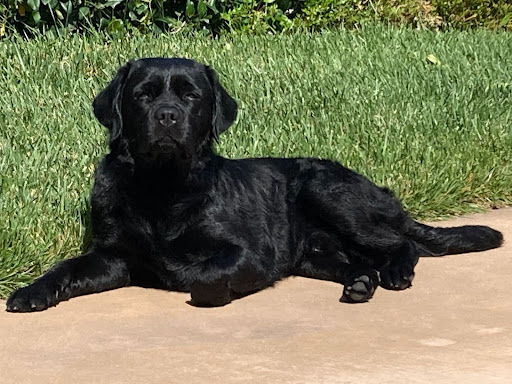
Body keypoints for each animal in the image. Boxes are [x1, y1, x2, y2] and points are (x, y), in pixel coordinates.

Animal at [6, 58, 504, 312]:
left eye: (190, 95)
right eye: (143, 95)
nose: (167, 116)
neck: (162, 188)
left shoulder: (250, 252)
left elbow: (205, 273)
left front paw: (201, 285)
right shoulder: (112, 258)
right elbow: (66, 269)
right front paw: (32, 291)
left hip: (326, 191)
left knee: (404, 243)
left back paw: (396, 271)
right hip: (315, 252)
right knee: (359, 259)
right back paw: (362, 281)